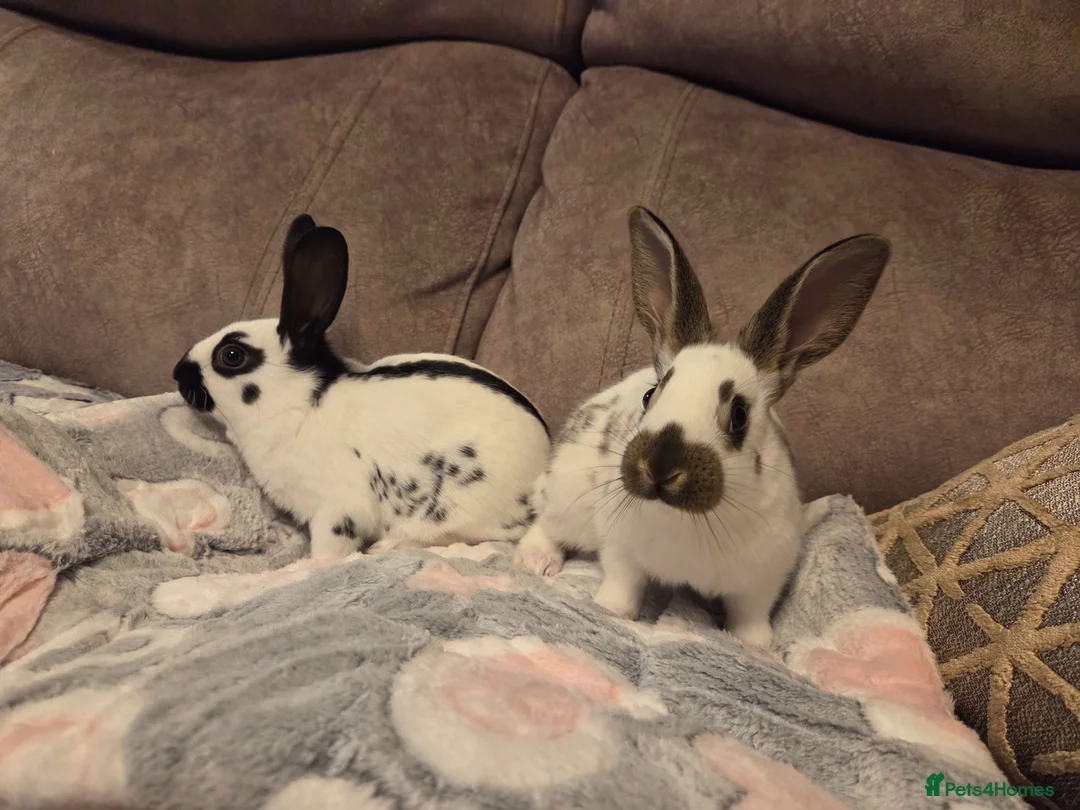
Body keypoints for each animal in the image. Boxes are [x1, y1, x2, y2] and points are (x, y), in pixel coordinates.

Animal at [173, 213, 550, 560]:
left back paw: (385, 546)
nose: (177, 373)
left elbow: (329, 549)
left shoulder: (339, 508)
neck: (299, 404)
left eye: (231, 355)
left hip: (459, 509)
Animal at [514, 206, 890, 646]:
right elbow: (623, 588)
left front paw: (758, 648)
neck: (686, 521)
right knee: (544, 524)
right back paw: (536, 561)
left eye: (739, 416)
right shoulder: (622, 551)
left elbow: (750, 619)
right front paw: (610, 611)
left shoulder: (762, 581)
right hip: (569, 498)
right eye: (650, 395)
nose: (658, 469)